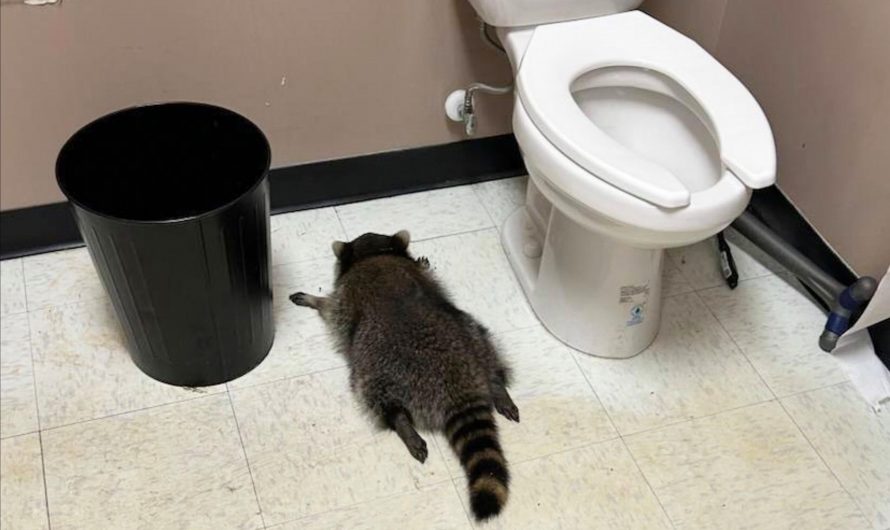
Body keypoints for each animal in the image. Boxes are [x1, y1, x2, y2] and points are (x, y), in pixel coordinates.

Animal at [289, 230, 519, 521]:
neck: (374, 254)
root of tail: (458, 385)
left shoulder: (344, 298)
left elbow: (330, 307)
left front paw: (313, 300)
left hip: (378, 367)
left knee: (375, 395)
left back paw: (401, 422)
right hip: (472, 334)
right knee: (486, 348)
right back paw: (497, 385)